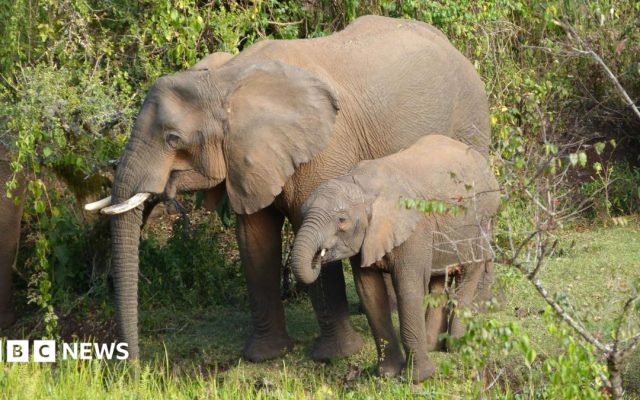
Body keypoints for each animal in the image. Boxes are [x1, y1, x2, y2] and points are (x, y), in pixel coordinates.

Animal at [86, 15, 491, 361]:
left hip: (471, 122)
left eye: (172, 139)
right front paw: (264, 356)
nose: (132, 366)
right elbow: (254, 238)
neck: (226, 80)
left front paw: (334, 356)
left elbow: (309, 229)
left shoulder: (325, 149)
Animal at [290, 135, 500, 382]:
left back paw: (455, 347)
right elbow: (370, 292)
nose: (318, 256)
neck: (362, 186)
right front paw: (386, 374)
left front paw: (418, 378)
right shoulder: (368, 239)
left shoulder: (414, 230)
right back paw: (433, 347)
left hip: (480, 221)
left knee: (468, 274)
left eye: (342, 220)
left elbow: (409, 288)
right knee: (437, 281)